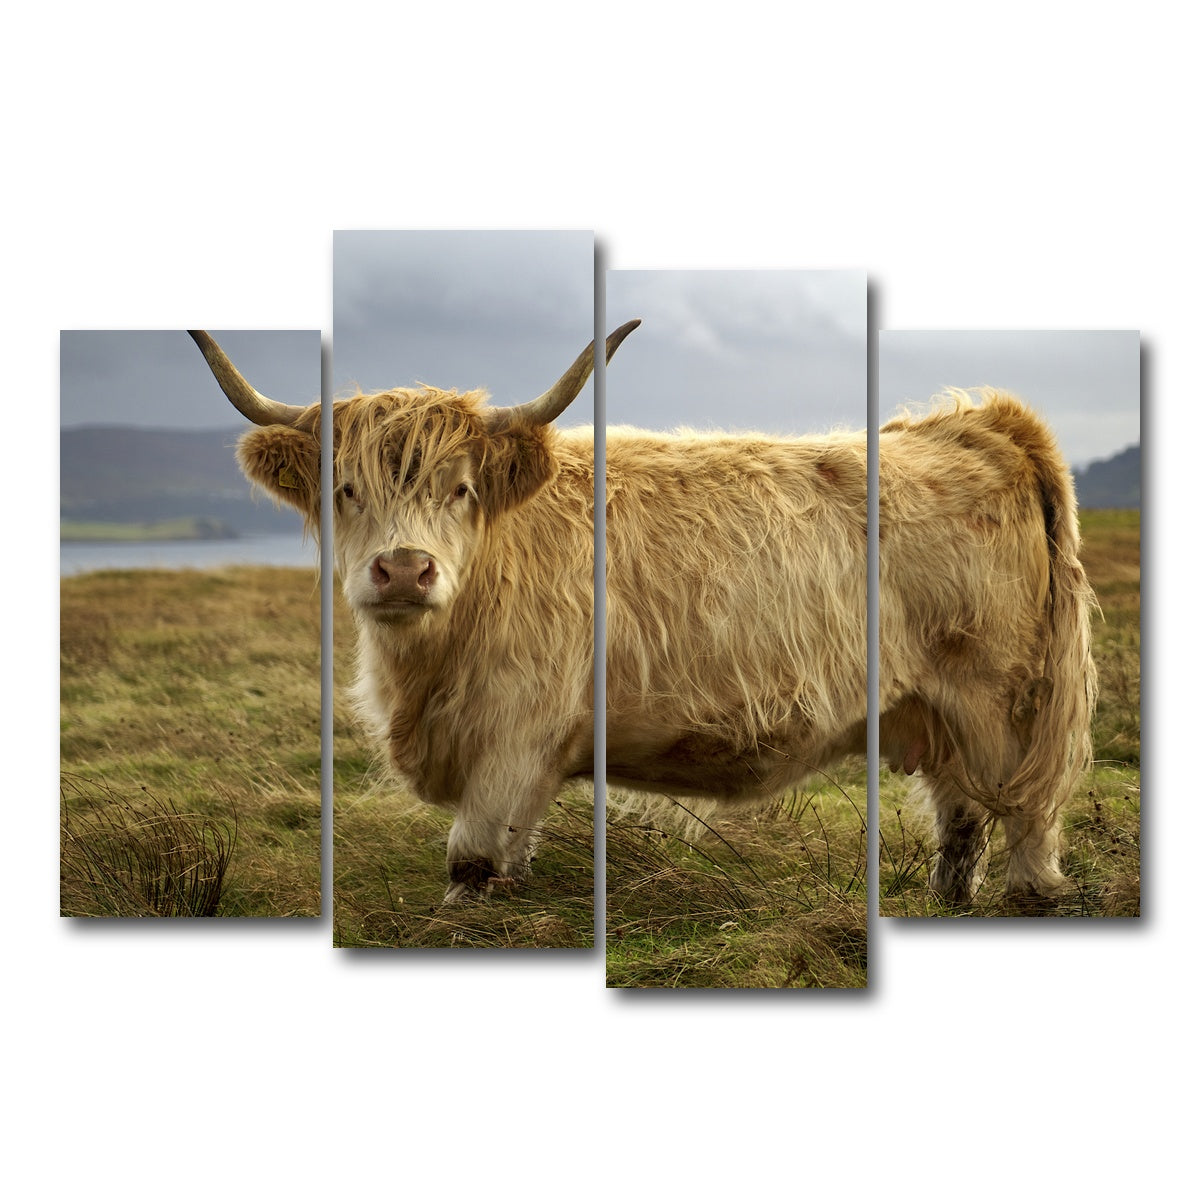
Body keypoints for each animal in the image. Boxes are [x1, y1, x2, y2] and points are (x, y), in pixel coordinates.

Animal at [606, 388, 1095, 904]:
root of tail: (982, 422)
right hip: (948, 713)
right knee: (963, 807)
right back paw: (949, 895)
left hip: (1002, 700)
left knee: (1024, 808)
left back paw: (1028, 892)